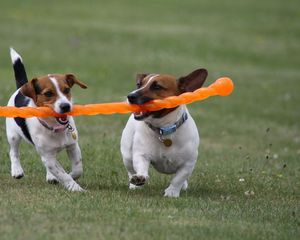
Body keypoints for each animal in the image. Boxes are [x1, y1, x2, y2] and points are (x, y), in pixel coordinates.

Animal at [5, 48, 87, 191]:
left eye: (67, 90)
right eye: (48, 93)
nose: (66, 106)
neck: (55, 127)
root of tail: (20, 88)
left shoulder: (73, 146)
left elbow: (77, 169)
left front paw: (70, 175)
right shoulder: (48, 157)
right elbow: (63, 174)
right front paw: (75, 188)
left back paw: (51, 176)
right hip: (13, 135)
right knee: (13, 152)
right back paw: (17, 170)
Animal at [120, 68, 207, 198]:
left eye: (157, 86)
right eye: (139, 84)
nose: (130, 96)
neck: (164, 129)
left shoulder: (188, 163)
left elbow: (179, 178)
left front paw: (172, 192)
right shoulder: (141, 155)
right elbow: (141, 167)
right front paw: (140, 177)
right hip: (127, 155)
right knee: (130, 170)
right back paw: (134, 185)